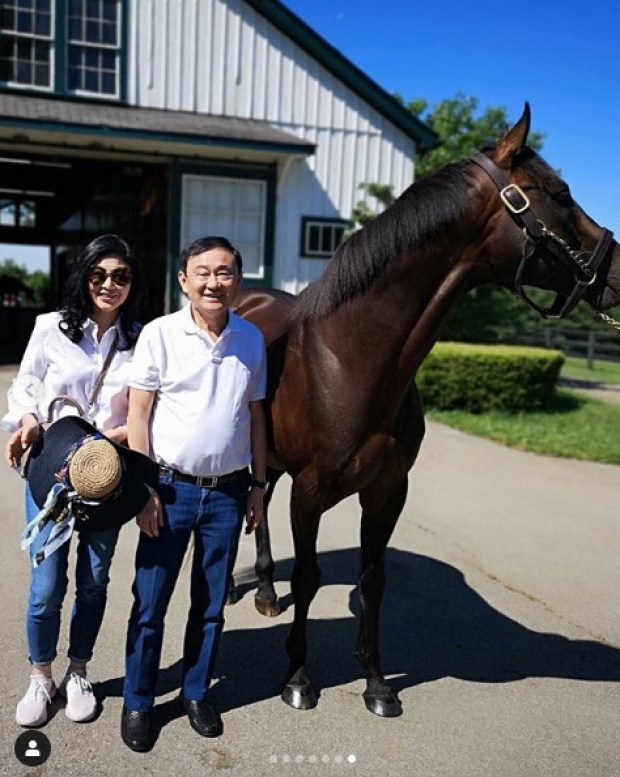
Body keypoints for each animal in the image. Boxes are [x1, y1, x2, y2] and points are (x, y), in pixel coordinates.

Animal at [231, 106, 620, 720]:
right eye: (560, 194)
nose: (619, 269)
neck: (350, 361)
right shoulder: (311, 491)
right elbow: (311, 576)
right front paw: (298, 678)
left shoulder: (388, 491)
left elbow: (373, 581)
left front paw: (376, 684)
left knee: (261, 503)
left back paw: (267, 592)